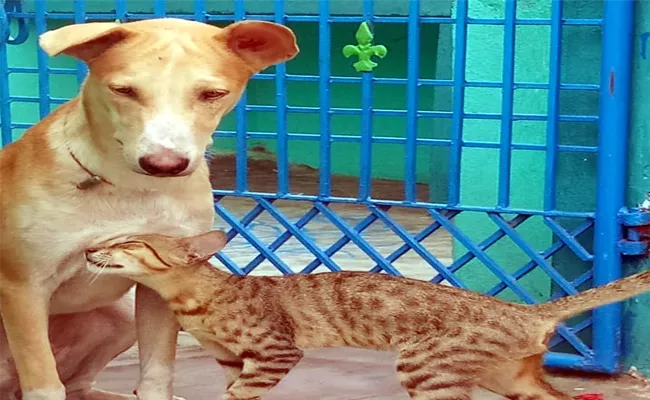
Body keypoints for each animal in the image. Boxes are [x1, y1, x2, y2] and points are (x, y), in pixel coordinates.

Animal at [0, 17, 298, 400]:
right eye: (123, 91)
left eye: (212, 94)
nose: (164, 164)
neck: (131, 188)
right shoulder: (23, 288)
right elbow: (45, 385)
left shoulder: (161, 282)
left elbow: (156, 373)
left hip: (122, 314)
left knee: (79, 386)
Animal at [86, 230, 648, 400]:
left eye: (128, 243)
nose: (90, 249)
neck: (199, 299)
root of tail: (525, 310)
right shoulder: (232, 359)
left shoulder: (274, 352)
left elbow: (240, 394)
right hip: (512, 380)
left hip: (426, 371)